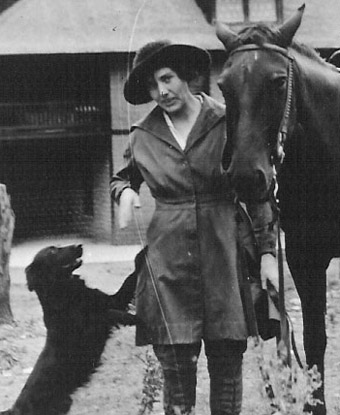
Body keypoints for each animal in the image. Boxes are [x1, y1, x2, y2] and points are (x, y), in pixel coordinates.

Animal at [0, 245, 143, 414]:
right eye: (52, 251)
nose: (79, 245)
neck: (66, 292)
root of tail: (13, 409)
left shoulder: (113, 300)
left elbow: (127, 281)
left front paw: (142, 254)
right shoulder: (90, 328)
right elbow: (109, 314)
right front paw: (136, 319)